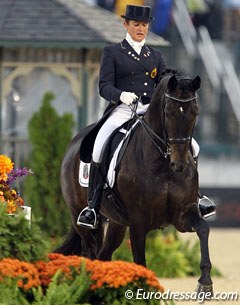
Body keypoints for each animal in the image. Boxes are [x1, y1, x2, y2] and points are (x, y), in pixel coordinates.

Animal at [56, 72, 214, 294]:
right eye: (168, 112)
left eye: (195, 112)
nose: (180, 164)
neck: (163, 163)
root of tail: (74, 143)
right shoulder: (139, 222)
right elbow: (140, 262)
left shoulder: (183, 214)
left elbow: (203, 229)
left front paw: (205, 282)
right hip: (81, 217)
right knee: (90, 252)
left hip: (117, 222)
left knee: (104, 255)